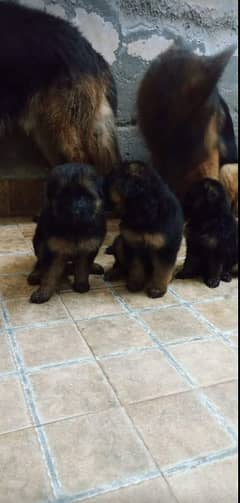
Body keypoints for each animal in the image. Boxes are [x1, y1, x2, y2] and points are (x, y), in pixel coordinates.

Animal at [27, 164, 106, 304]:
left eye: (86, 196)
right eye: (64, 196)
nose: (75, 212)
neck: (74, 228)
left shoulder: (88, 247)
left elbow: (82, 267)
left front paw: (81, 284)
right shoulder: (54, 250)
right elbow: (49, 274)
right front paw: (43, 293)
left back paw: (94, 267)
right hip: (39, 240)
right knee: (40, 262)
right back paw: (36, 274)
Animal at [105, 161, 184, 298]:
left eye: (110, 182)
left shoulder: (165, 247)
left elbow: (162, 270)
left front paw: (157, 289)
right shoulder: (133, 244)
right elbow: (136, 267)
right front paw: (135, 284)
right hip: (120, 242)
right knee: (121, 264)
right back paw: (114, 272)